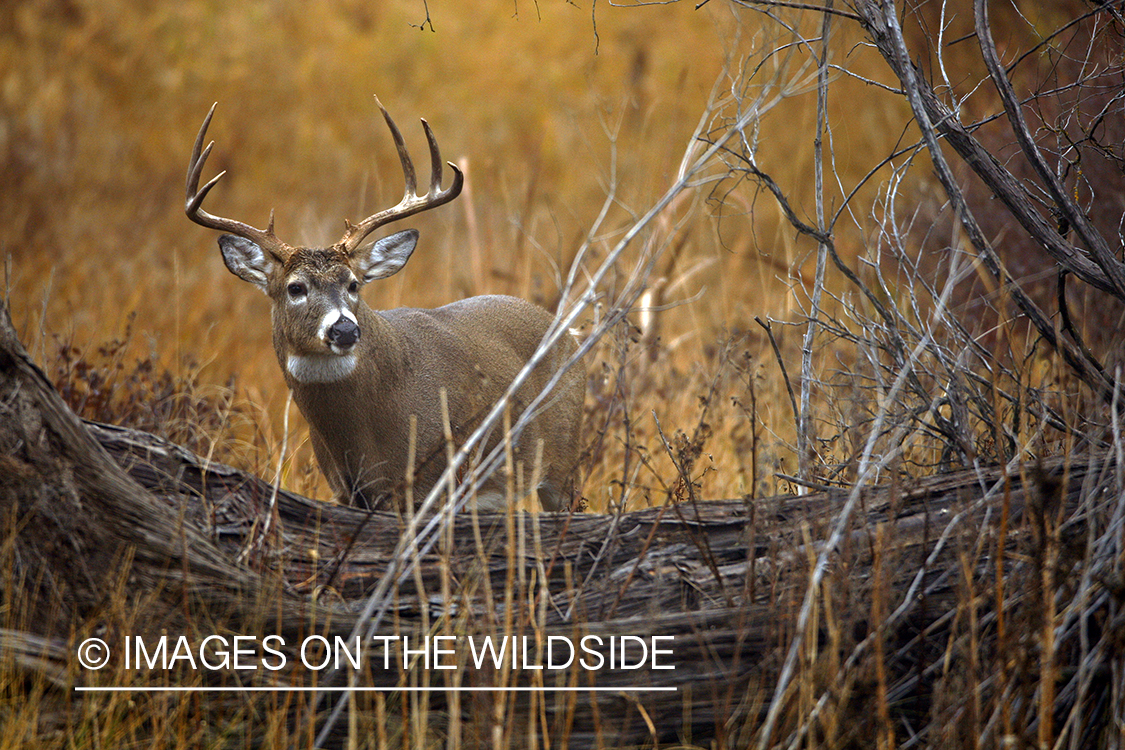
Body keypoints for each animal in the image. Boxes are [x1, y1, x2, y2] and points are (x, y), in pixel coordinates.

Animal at [185, 98, 585, 510]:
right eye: (295, 288)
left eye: (353, 284)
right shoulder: (344, 489)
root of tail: (567, 330)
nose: (345, 328)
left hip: (563, 463)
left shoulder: (432, 481)